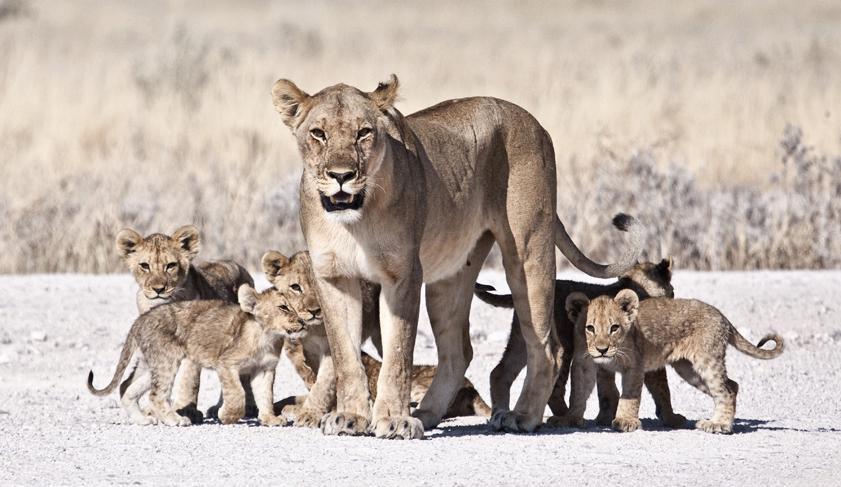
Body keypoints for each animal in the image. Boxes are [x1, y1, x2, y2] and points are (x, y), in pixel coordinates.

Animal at [87, 285, 300, 427]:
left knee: (127, 387)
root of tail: (140, 319)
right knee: (156, 395)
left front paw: (270, 419)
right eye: (283, 307)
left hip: (150, 363)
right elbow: (237, 394)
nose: (302, 322)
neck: (268, 336)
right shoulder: (226, 363)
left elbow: (266, 395)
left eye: (296, 306)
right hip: (167, 359)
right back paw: (175, 419)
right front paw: (226, 416)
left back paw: (142, 419)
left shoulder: (264, 369)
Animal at [261, 250, 491, 421]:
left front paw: (306, 413)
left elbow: (320, 387)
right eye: (295, 287)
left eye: (319, 287)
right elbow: (294, 396)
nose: (315, 310)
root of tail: (473, 390)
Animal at [475, 258, 686, 428]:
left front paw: (605, 418)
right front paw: (671, 418)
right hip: (564, 346)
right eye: (673, 290)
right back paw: (563, 417)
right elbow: (662, 388)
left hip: (522, 339)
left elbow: (607, 390)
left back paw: (499, 415)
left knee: (500, 373)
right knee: (555, 386)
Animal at [556, 290, 783, 434]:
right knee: (732, 385)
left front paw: (625, 421)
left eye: (614, 328)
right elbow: (578, 393)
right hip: (689, 369)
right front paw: (569, 419)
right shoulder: (584, 363)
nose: (602, 349)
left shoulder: (635, 365)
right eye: (590, 328)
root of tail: (721, 315)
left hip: (706, 360)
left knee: (725, 390)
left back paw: (718, 425)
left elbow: (630, 395)